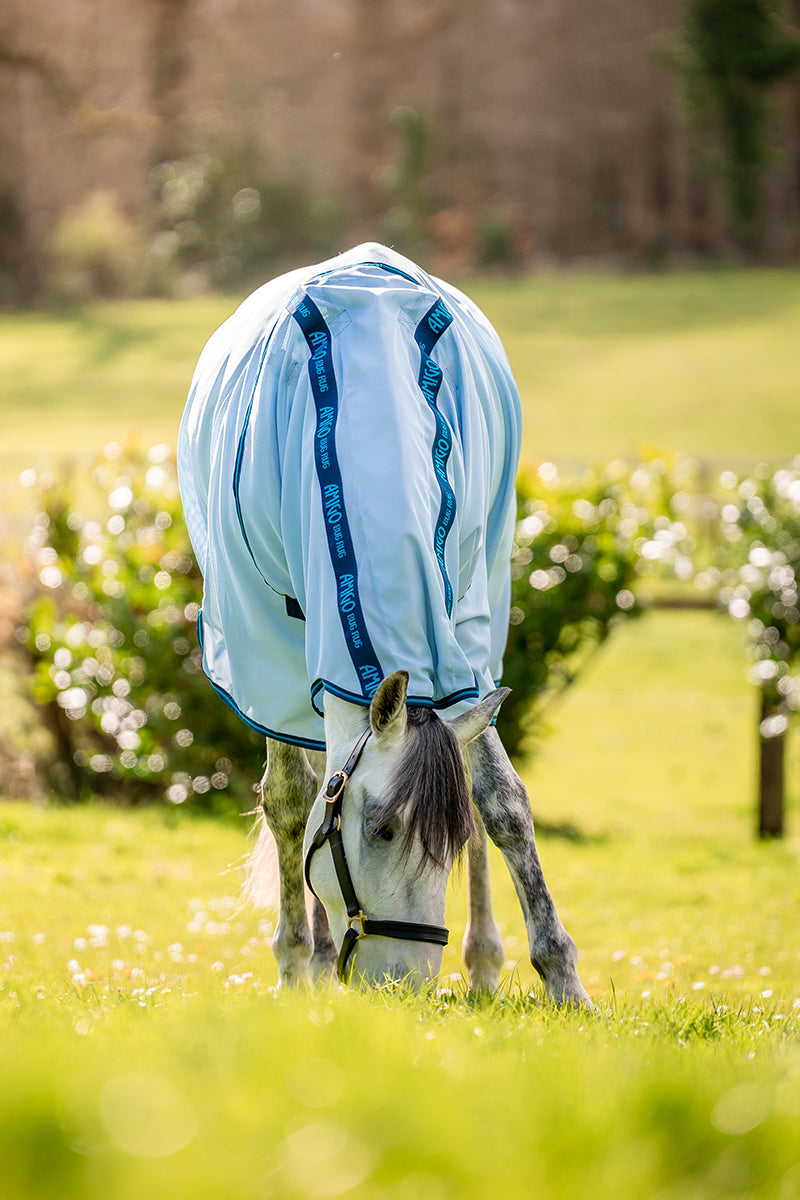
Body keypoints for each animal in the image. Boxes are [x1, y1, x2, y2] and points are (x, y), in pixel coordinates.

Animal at [181, 241, 592, 1003]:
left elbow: (499, 803)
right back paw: (315, 957)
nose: (402, 985)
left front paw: (562, 981)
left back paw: (483, 966)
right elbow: (291, 803)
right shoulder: (266, 651)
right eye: (379, 830)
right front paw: (292, 968)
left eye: (446, 839)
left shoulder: (463, 642)